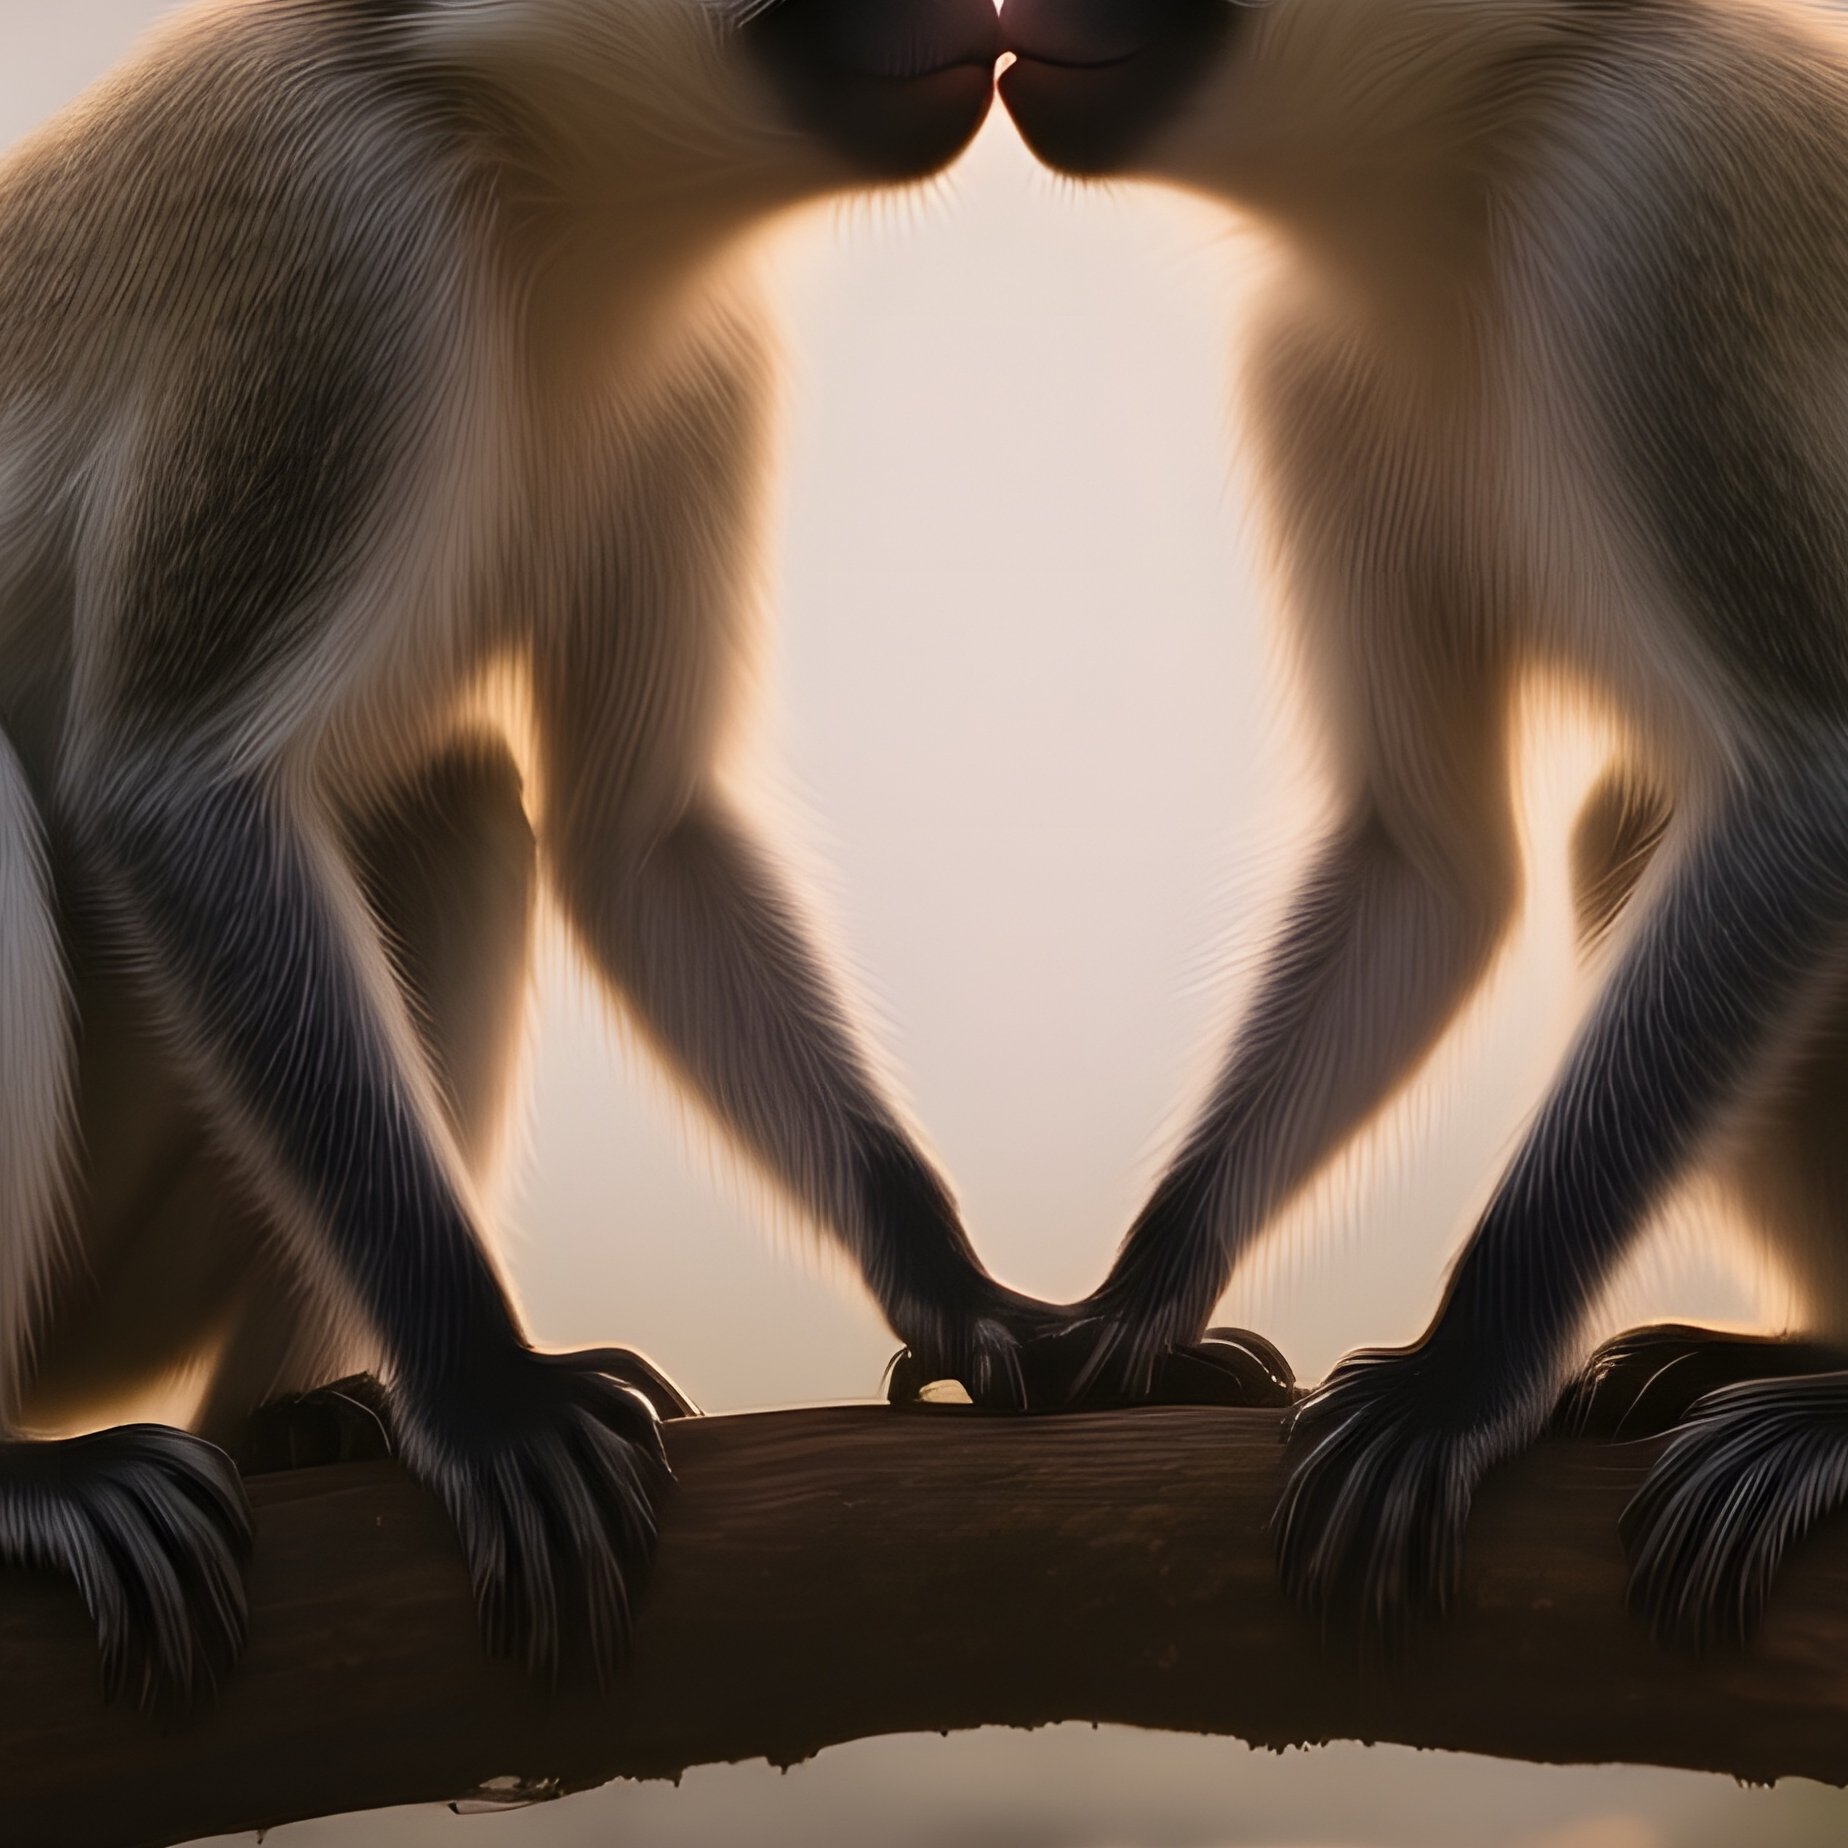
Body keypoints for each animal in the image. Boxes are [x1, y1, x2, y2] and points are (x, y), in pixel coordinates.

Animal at [0, 0, 1031, 1708]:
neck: (529, 162)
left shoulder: (701, 347)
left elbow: (638, 836)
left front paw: (966, 1296)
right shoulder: (336, 237)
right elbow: (177, 792)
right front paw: (487, 1393)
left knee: (461, 802)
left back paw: (286, 1427)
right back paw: (27, 1479)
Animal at [998, 0, 1848, 1647]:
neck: (1480, 130)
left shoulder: (1650, 213)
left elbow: (1808, 785)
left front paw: (1460, 1377)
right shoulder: (1315, 357)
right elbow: (1434, 857)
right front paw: (1139, 1304)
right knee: (1620, 831)